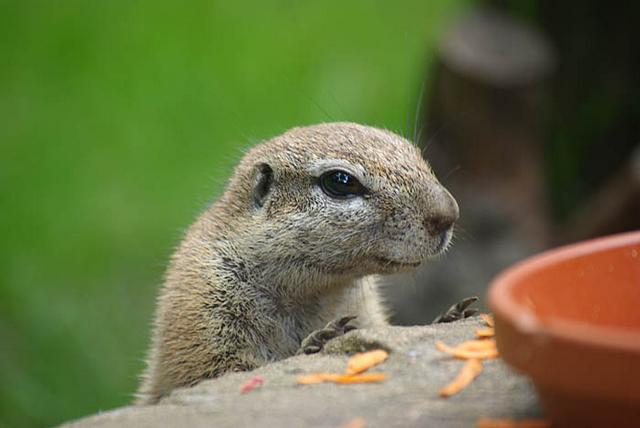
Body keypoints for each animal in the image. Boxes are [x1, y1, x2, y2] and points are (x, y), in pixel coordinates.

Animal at [135, 121, 458, 404]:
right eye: (340, 181)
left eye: (416, 153)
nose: (449, 215)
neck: (316, 292)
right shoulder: (202, 309)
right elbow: (218, 374)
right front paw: (320, 340)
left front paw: (450, 315)